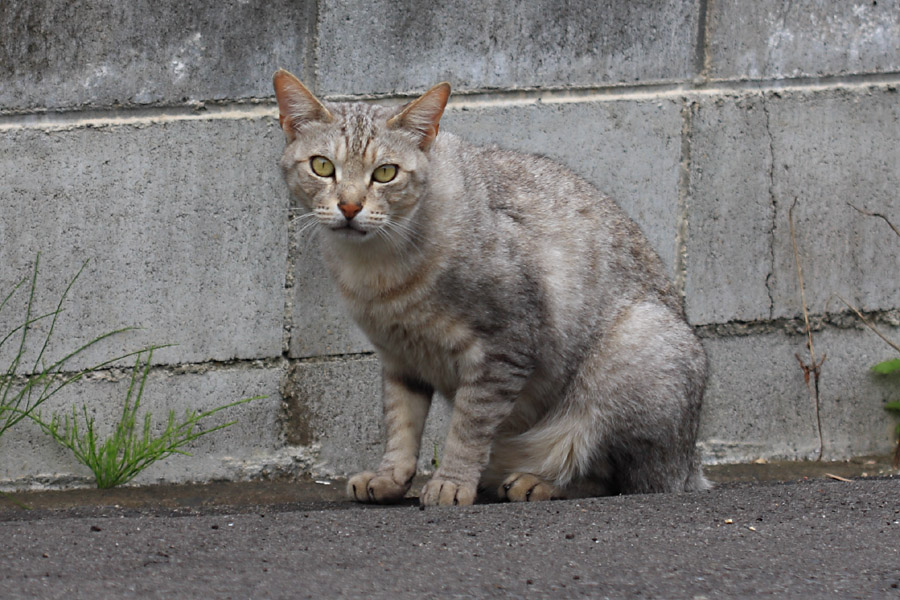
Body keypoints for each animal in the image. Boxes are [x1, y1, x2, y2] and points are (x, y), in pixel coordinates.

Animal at [270, 69, 708, 506]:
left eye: (384, 173)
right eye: (322, 166)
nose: (349, 206)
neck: (376, 267)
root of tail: (689, 465)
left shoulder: (505, 346)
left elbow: (469, 428)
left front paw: (451, 482)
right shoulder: (400, 357)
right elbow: (400, 423)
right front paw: (390, 476)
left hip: (635, 351)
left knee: (612, 474)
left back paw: (537, 482)